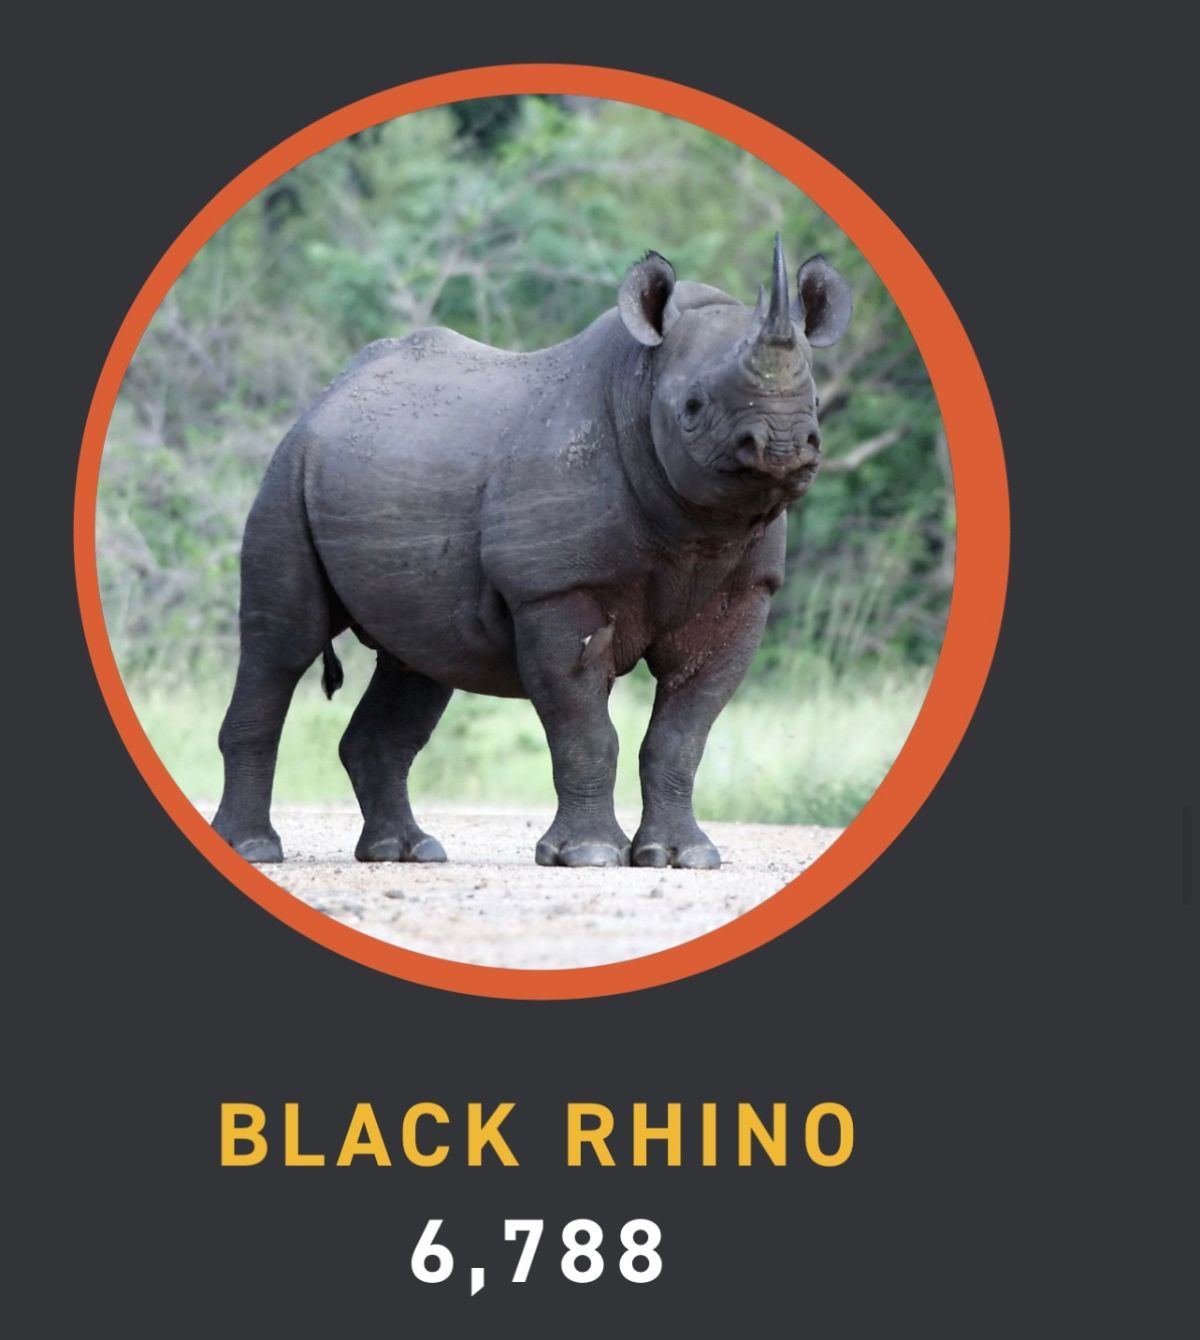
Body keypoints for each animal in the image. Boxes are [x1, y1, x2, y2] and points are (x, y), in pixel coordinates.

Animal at [212, 235, 851, 869]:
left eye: (816, 399)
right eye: (692, 406)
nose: (783, 444)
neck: (641, 381)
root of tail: (326, 397)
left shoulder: (744, 591)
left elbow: (683, 731)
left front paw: (683, 856)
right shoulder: (553, 587)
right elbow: (584, 726)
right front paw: (590, 855)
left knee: (418, 661)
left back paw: (407, 851)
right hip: (288, 471)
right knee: (282, 644)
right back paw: (255, 847)